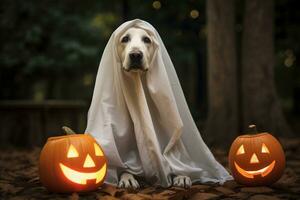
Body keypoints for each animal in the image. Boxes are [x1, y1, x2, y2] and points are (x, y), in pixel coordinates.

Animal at [115, 27, 192, 189]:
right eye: (125, 39)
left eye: (146, 40)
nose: (136, 55)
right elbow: (123, 167)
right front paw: (127, 178)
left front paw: (181, 176)